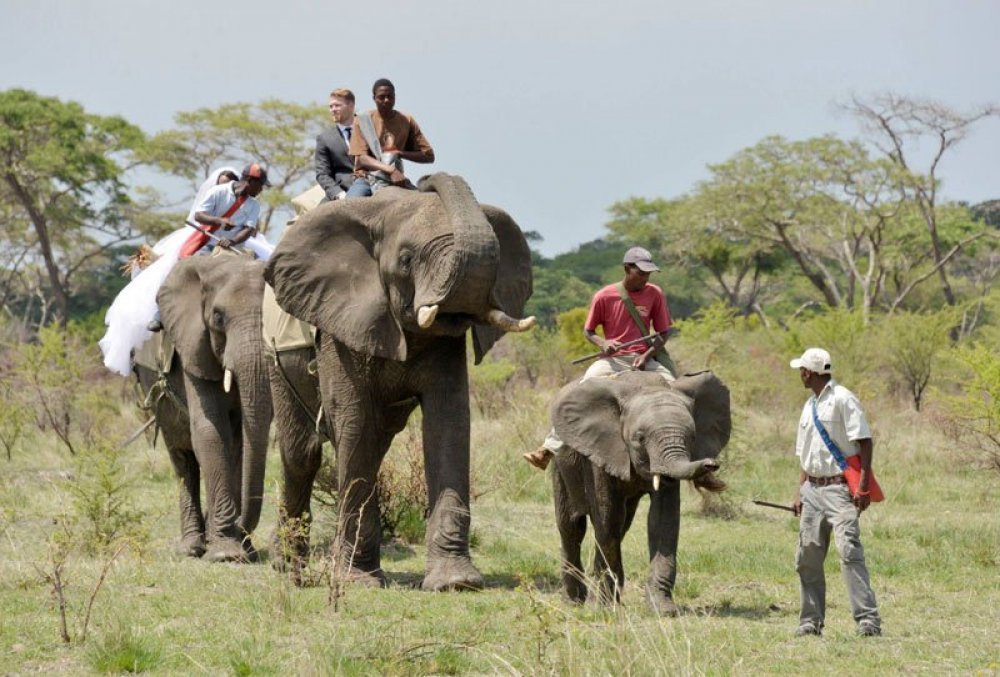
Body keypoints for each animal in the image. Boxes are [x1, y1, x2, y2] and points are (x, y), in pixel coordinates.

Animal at [136, 252, 274, 560]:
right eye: (218, 317)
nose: (241, 529)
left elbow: (240, 441)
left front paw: (238, 549)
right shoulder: (192, 346)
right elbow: (210, 431)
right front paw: (225, 553)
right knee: (182, 459)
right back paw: (192, 547)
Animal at [264, 174, 532, 592]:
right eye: (406, 259)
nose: (426, 179)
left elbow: (450, 422)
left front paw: (455, 583)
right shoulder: (341, 329)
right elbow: (354, 421)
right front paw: (358, 581)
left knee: (372, 445)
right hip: (277, 359)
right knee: (302, 453)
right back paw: (287, 567)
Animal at [552, 368, 732, 616]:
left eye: (693, 437)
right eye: (640, 438)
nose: (711, 464)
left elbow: (662, 519)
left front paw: (663, 609)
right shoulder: (600, 449)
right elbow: (607, 517)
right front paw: (603, 608)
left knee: (622, 525)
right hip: (560, 466)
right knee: (572, 527)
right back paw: (574, 601)